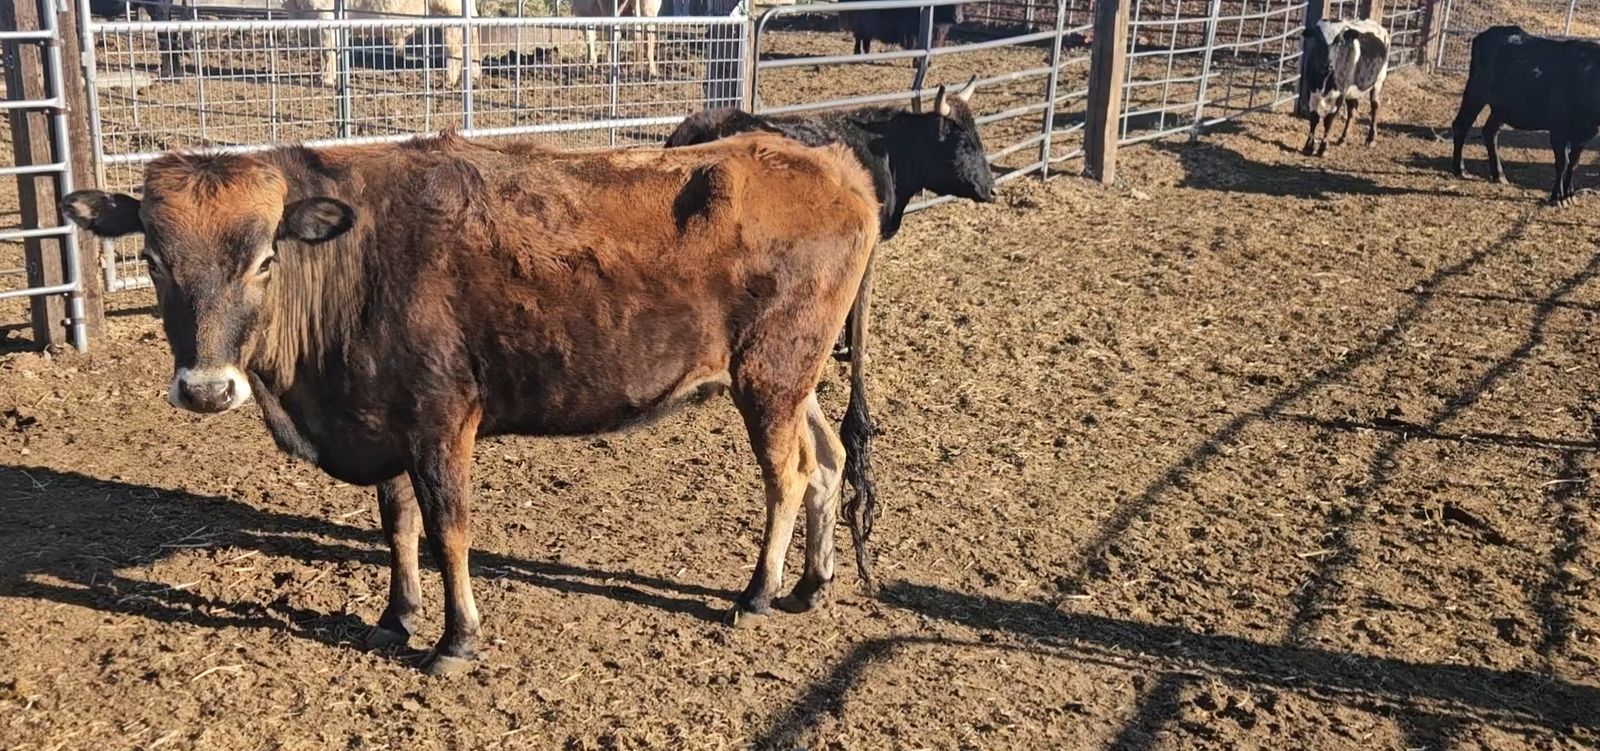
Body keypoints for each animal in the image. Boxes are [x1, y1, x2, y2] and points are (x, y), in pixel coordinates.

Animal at [59, 131, 882, 676]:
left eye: (265, 259)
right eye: (152, 258)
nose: (205, 389)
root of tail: (834, 165)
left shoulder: (441, 421)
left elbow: (448, 529)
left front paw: (457, 639)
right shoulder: (384, 421)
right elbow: (398, 526)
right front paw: (397, 617)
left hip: (769, 376)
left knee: (788, 476)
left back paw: (758, 593)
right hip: (793, 378)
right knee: (828, 458)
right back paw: (812, 584)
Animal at [1297, 18, 1390, 157]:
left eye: (1340, 42)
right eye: (1318, 40)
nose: (1328, 65)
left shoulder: (1340, 95)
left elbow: (1328, 120)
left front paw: (1323, 148)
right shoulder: (1312, 91)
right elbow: (1314, 118)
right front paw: (1308, 146)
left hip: (1378, 81)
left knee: (1374, 107)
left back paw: (1371, 138)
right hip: (1352, 91)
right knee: (1352, 110)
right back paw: (1343, 138)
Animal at [1450, 26, 1600, 206]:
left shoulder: (1582, 136)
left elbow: (1574, 164)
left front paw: (1569, 195)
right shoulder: (1558, 131)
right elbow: (1562, 163)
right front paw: (1558, 197)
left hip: (1500, 108)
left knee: (1490, 132)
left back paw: (1499, 175)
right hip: (1476, 91)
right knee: (1461, 125)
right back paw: (1460, 170)